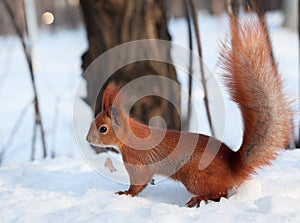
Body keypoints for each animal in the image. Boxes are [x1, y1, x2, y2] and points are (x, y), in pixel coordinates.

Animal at [86, 17, 292, 207]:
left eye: (103, 128)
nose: (88, 139)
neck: (130, 137)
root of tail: (233, 169)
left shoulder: (138, 161)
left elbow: (138, 183)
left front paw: (126, 193)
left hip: (193, 175)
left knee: (221, 192)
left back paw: (199, 199)